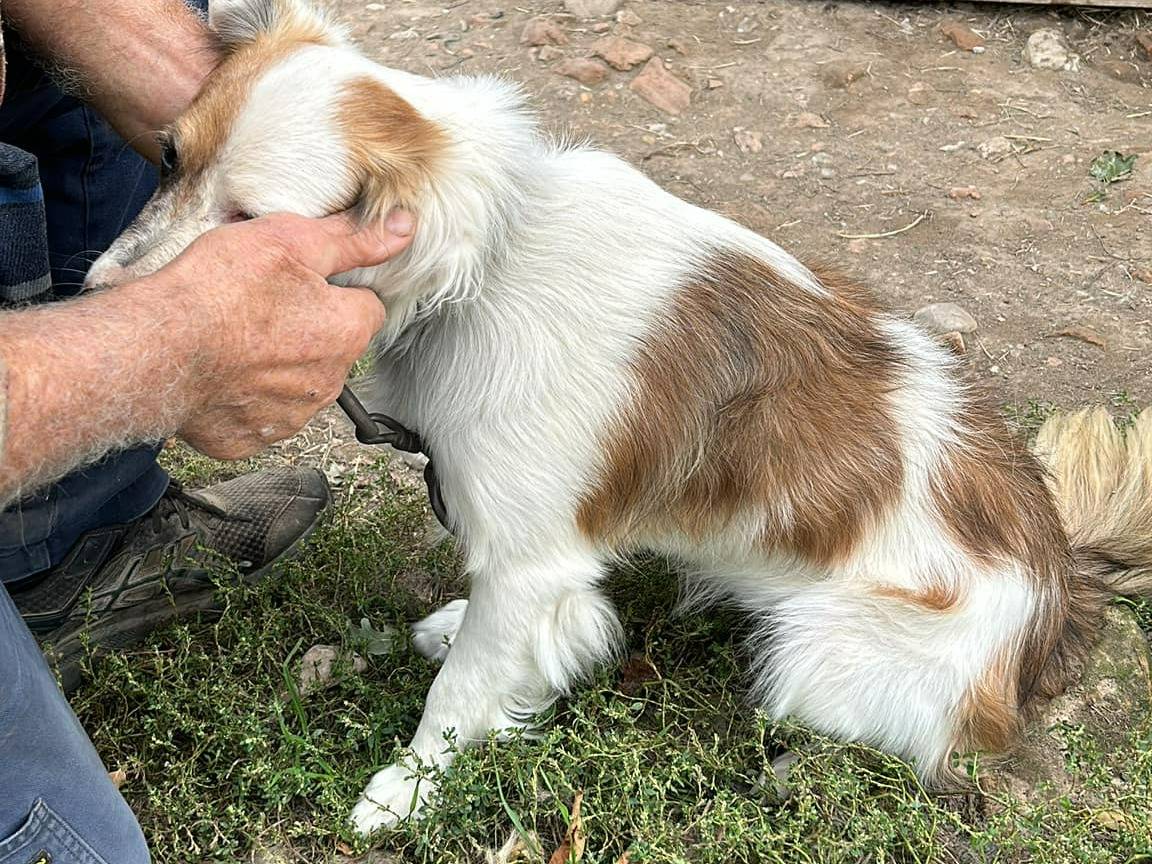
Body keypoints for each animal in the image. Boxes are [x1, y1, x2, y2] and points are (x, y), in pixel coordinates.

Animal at [87, 0, 1152, 838]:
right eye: (168, 158)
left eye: (251, 223)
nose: (95, 296)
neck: (491, 263)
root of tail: (1060, 589)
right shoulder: (531, 547)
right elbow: (509, 633)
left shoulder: (529, 551)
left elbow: (458, 691)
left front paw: (409, 788)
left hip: (817, 655)